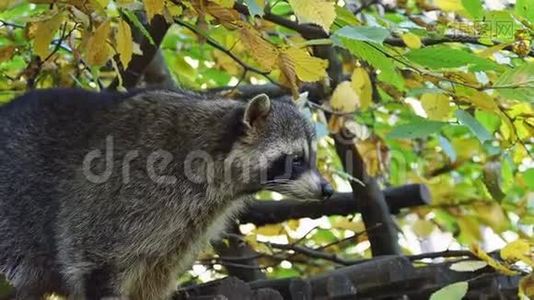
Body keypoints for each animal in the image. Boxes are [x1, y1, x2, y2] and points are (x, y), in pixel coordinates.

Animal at [0, 88, 336, 298]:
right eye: (296, 160)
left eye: (311, 157)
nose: (328, 190)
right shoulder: (121, 193)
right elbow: (96, 260)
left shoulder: (184, 227)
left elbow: (154, 275)